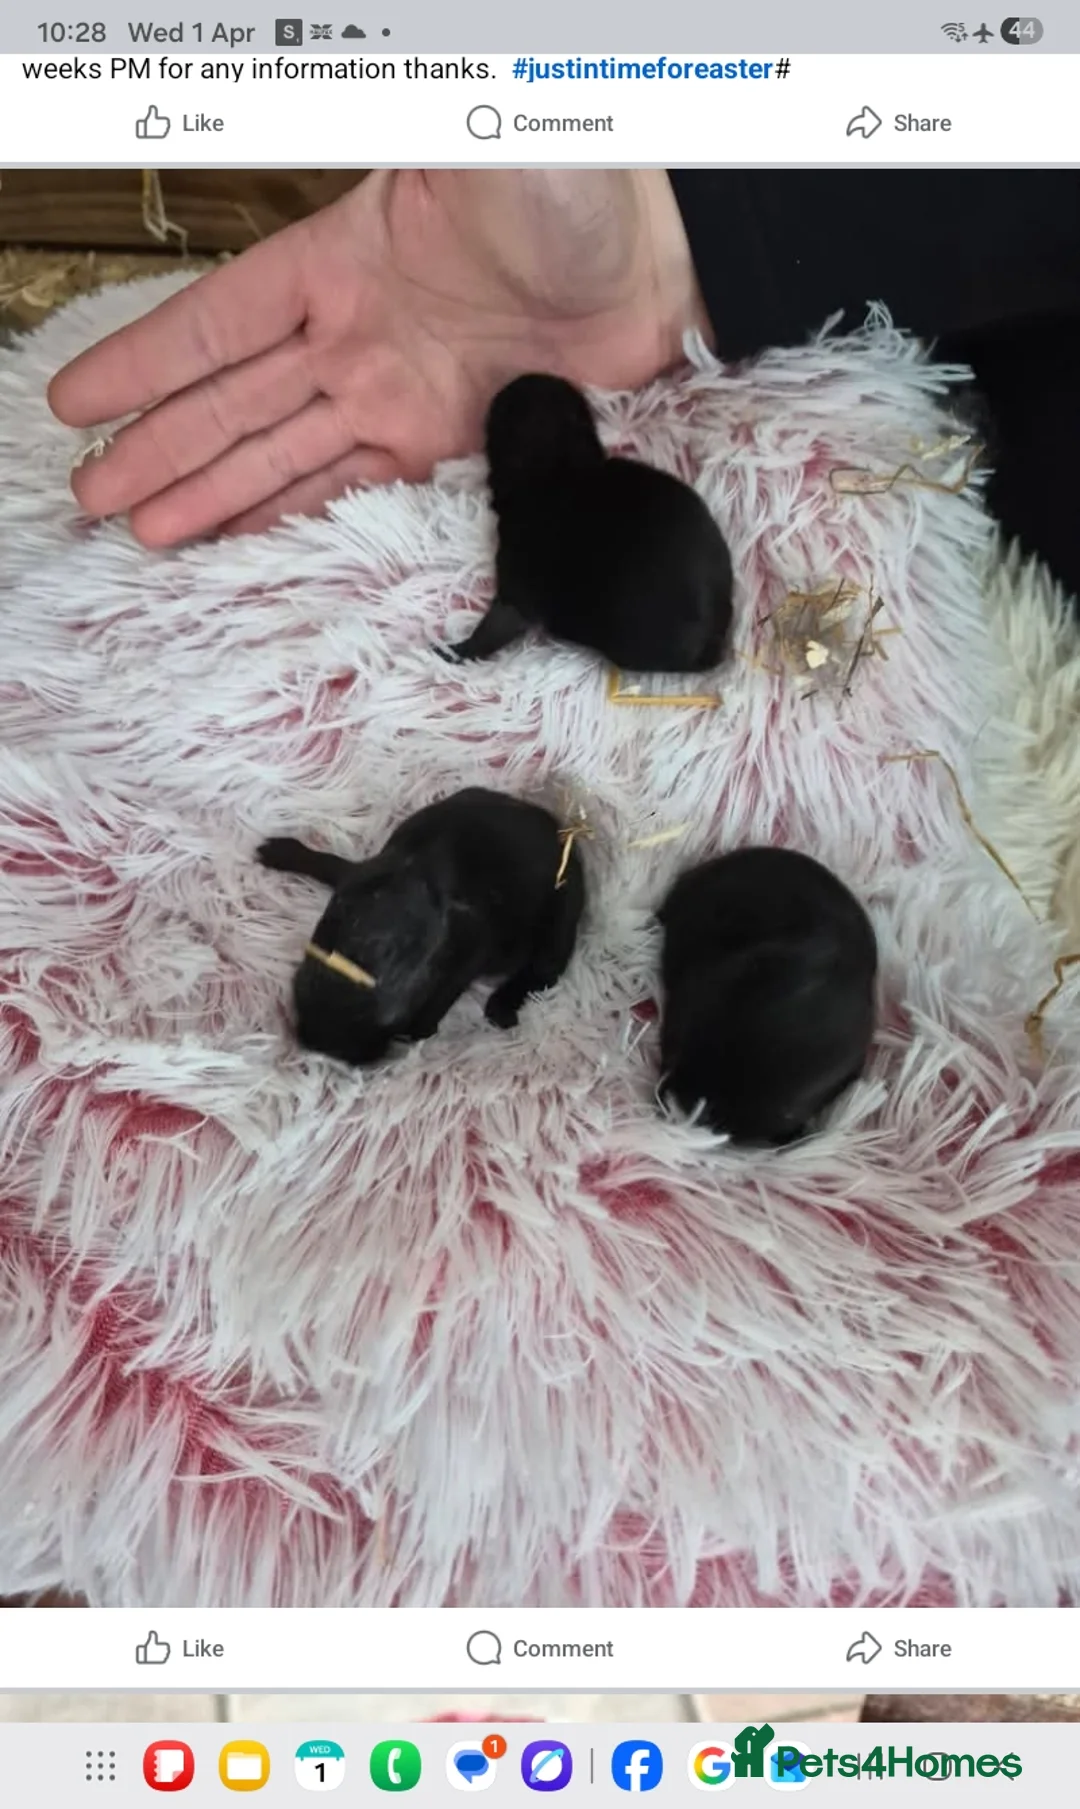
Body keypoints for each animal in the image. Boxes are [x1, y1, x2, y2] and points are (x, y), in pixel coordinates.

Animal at [258, 786, 586, 1067]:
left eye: (393, 1021)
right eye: (297, 994)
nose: (320, 1049)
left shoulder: (474, 944)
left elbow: (448, 989)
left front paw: (421, 1028)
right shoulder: (359, 874)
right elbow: (330, 862)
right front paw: (282, 851)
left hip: (559, 921)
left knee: (543, 973)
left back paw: (503, 1004)